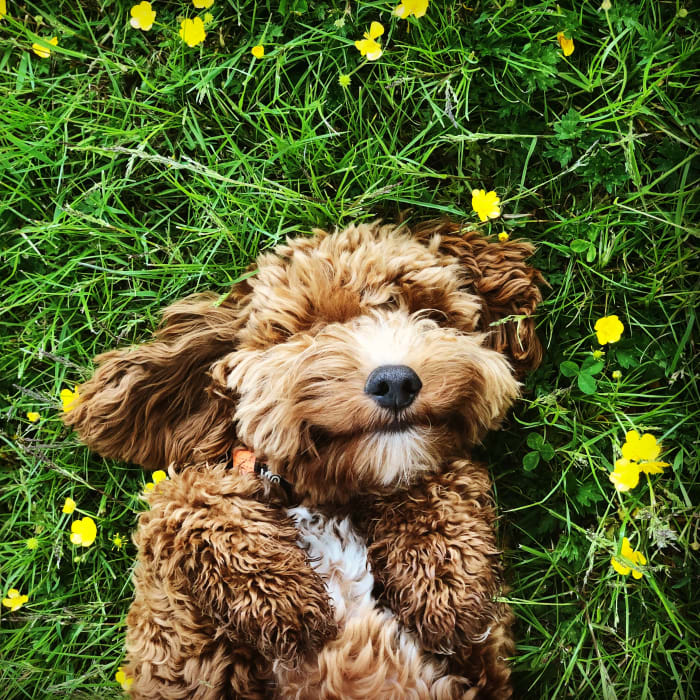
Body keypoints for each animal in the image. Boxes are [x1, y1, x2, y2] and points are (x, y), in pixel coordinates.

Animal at [64, 217, 540, 696]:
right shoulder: (177, 652)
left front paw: (443, 582)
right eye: (309, 329)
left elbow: (447, 477)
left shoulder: (481, 663)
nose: (395, 381)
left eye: (430, 313)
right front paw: (281, 598)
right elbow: (182, 499)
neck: (321, 506)